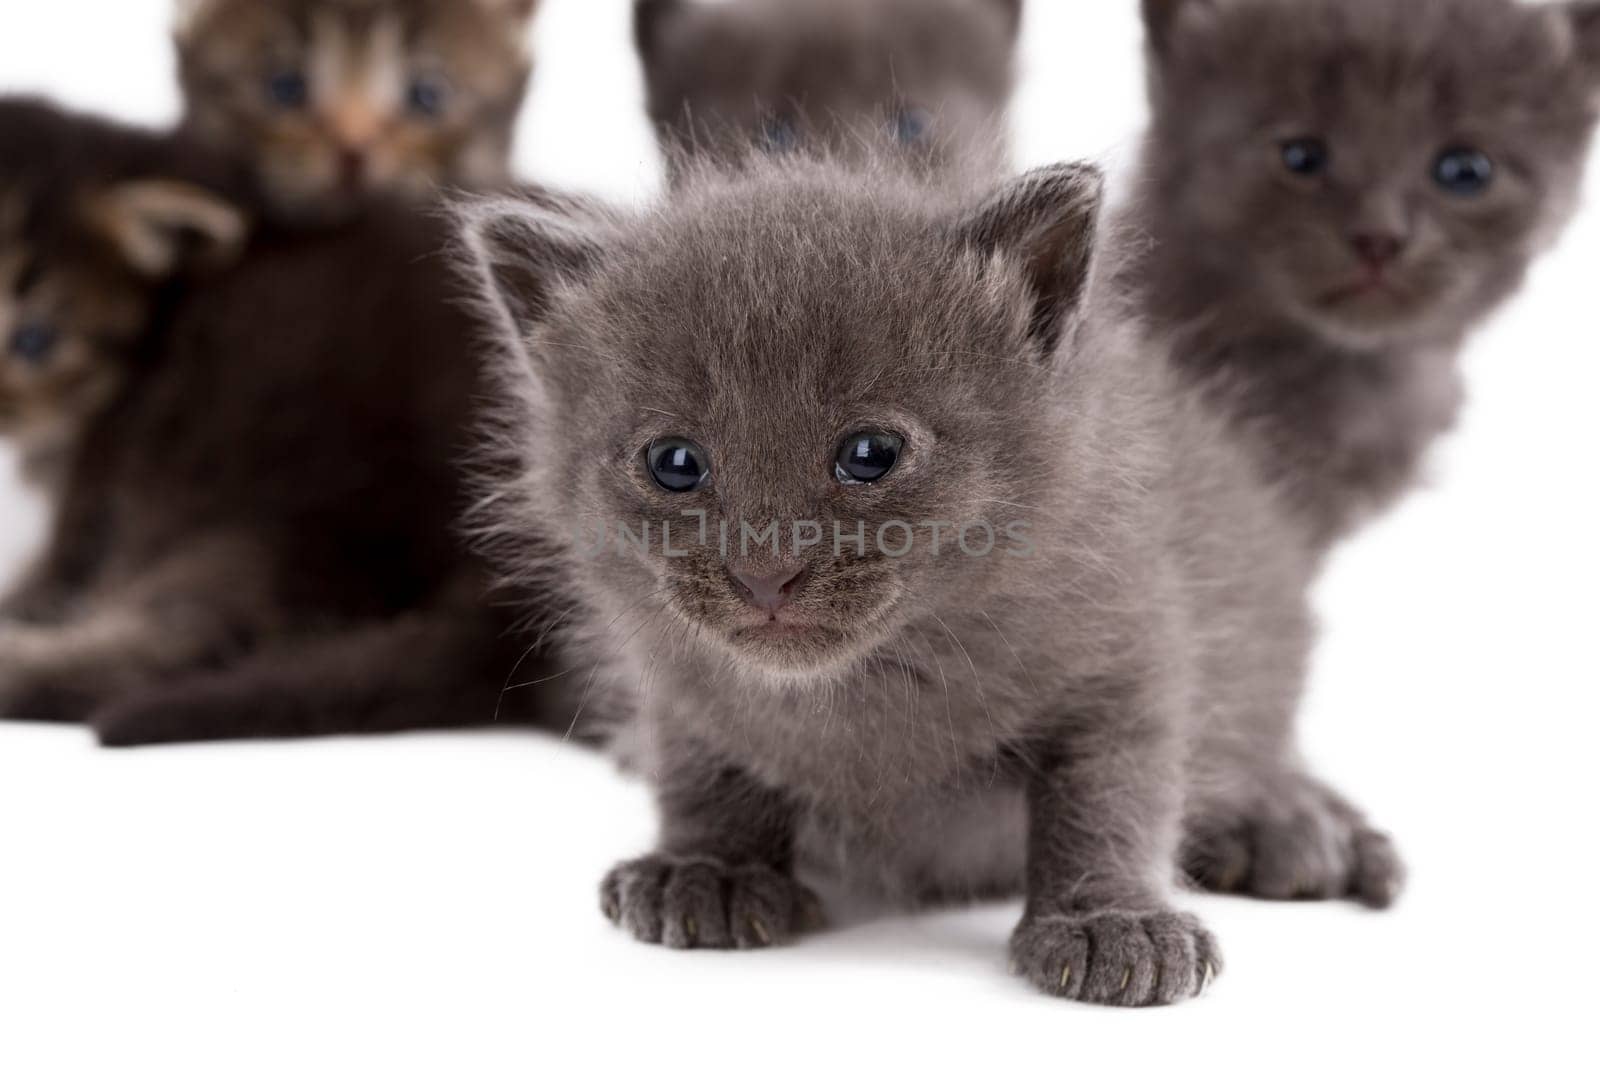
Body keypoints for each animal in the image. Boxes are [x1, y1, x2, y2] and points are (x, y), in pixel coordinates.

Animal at [457, 154, 1395, 1004]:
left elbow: (1108, 798)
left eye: (871, 453)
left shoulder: (1128, 651)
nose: (766, 571)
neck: (862, 690)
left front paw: (1107, 921)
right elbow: (703, 769)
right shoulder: (677, 681)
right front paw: (707, 867)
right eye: (674, 462)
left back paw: (1295, 826)